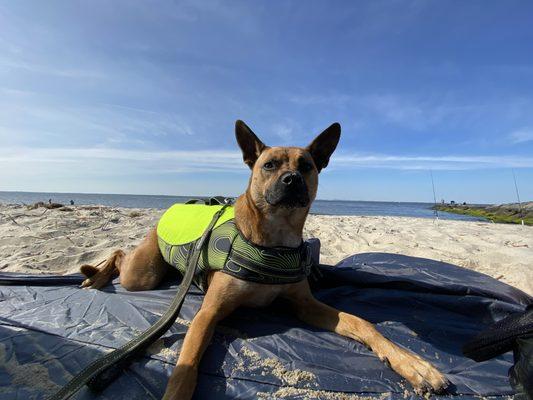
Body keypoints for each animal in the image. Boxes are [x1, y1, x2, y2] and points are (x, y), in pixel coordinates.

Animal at [80, 120, 444, 398]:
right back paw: (93, 274)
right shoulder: (208, 314)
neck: (275, 240)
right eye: (268, 165)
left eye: (306, 166)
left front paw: (412, 363)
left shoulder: (305, 306)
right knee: (119, 254)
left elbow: (361, 323)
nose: (291, 180)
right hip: (142, 275)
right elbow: (187, 365)